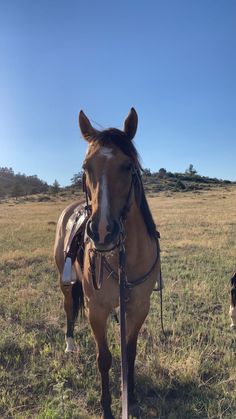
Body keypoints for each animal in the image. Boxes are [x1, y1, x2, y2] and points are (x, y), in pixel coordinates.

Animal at [53, 109, 161, 419]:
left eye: (127, 166)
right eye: (86, 167)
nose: (102, 231)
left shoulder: (139, 307)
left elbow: (130, 352)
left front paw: (131, 397)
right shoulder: (96, 310)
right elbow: (104, 358)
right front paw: (107, 408)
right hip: (67, 285)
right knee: (68, 309)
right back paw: (70, 345)